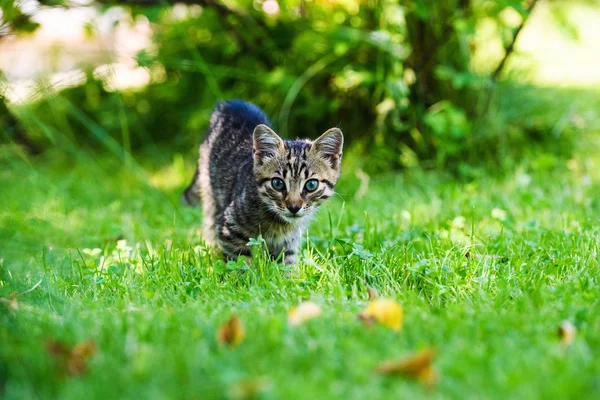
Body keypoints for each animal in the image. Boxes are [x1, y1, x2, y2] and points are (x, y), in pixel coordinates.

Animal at [180, 99, 342, 266]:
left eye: (311, 185)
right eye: (278, 183)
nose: (294, 207)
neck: (281, 224)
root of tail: (229, 103)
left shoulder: (289, 241)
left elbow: (287, 262)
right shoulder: (229, 228)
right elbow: (238, 262)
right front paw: (240, 273)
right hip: (211, 196)